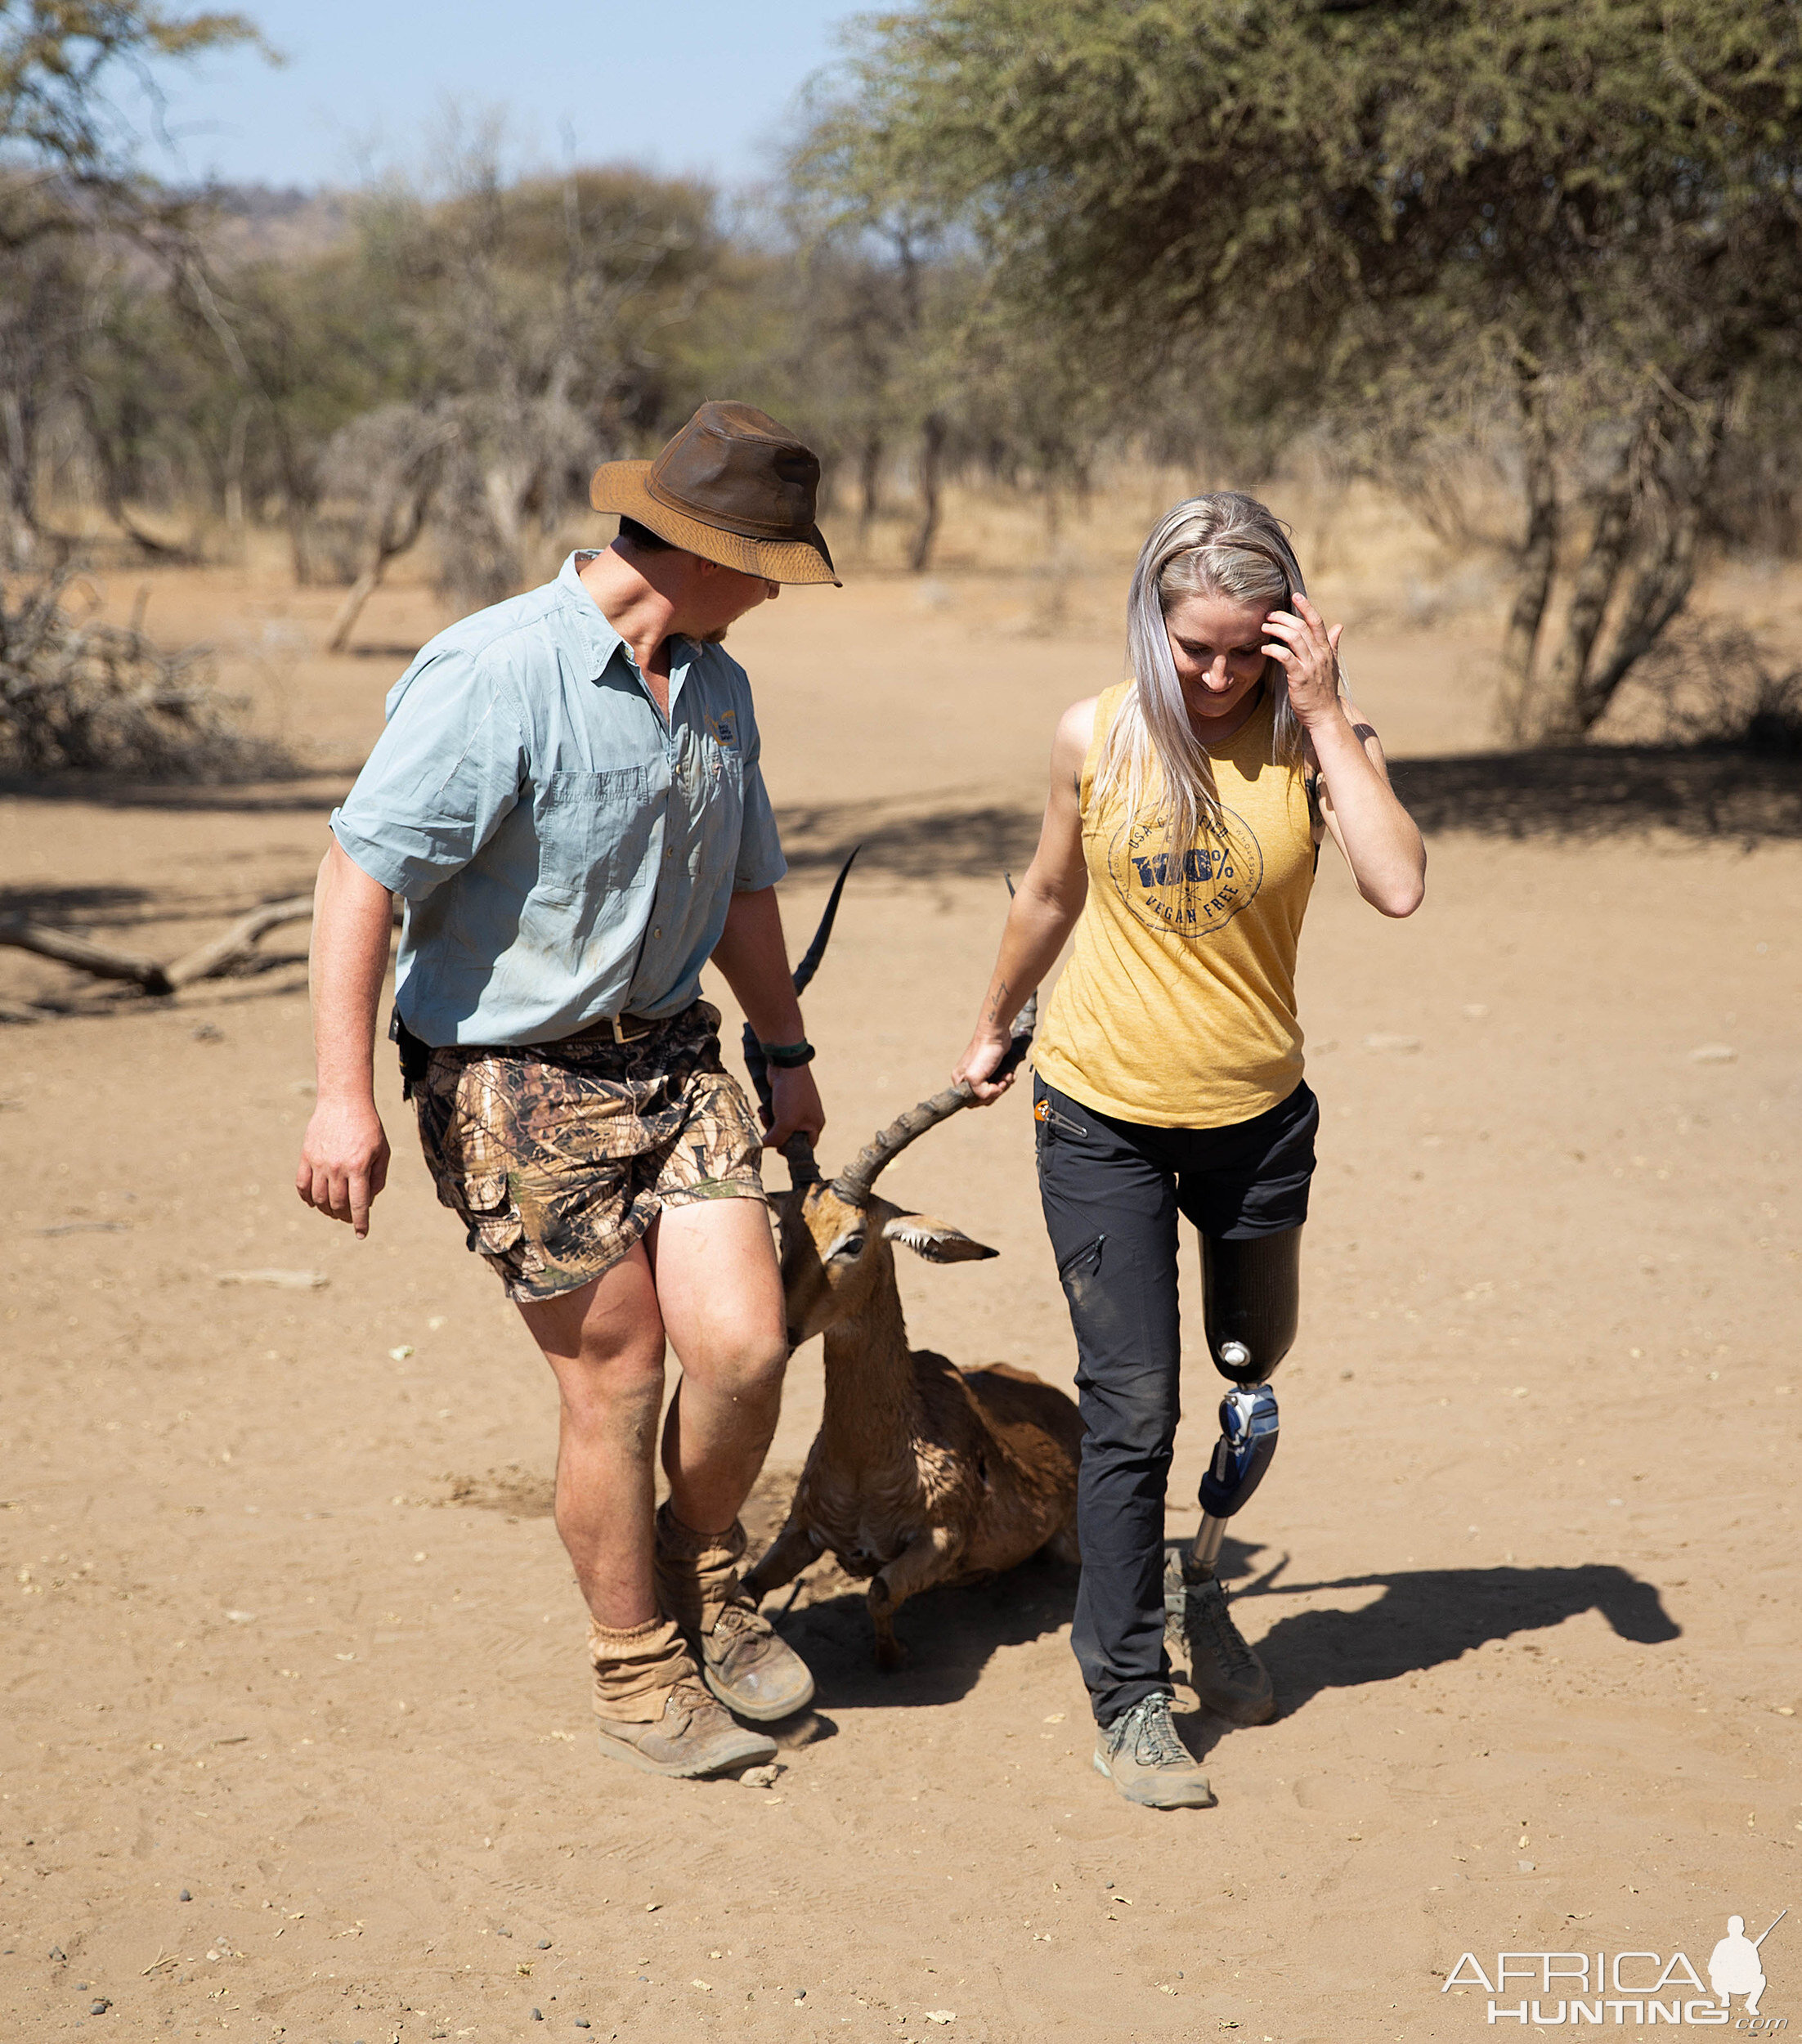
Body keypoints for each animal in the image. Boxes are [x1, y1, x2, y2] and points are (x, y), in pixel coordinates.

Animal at [735, 863, 1070, 1676]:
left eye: (854, 1241)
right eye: (783, 1227)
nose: (782, 1327)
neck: (870, 1462)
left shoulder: (938, 1544)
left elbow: (880, 1592)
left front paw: (890, 1660)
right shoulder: (799, 1530)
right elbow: (746, 1586)